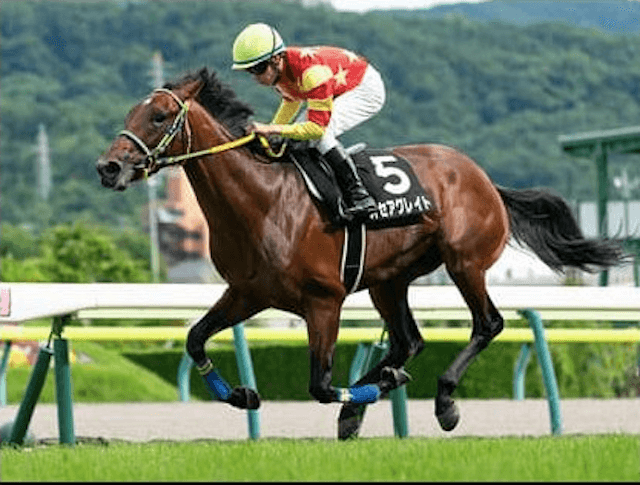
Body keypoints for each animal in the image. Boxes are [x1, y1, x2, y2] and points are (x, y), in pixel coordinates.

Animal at [96, 67, 625, 439]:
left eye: (159, 116)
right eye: (129, 115)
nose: (108, 167)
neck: (262, 200)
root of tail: (485, 180)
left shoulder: (324, 301)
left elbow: (319, 384)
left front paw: (379, 390)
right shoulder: (248, 293)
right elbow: (195, 339)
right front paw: (242, 394)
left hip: (464, 263)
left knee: (487, 324)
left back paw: (441, 400)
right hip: (388, 281)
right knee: (409, 341)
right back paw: (365, 402)